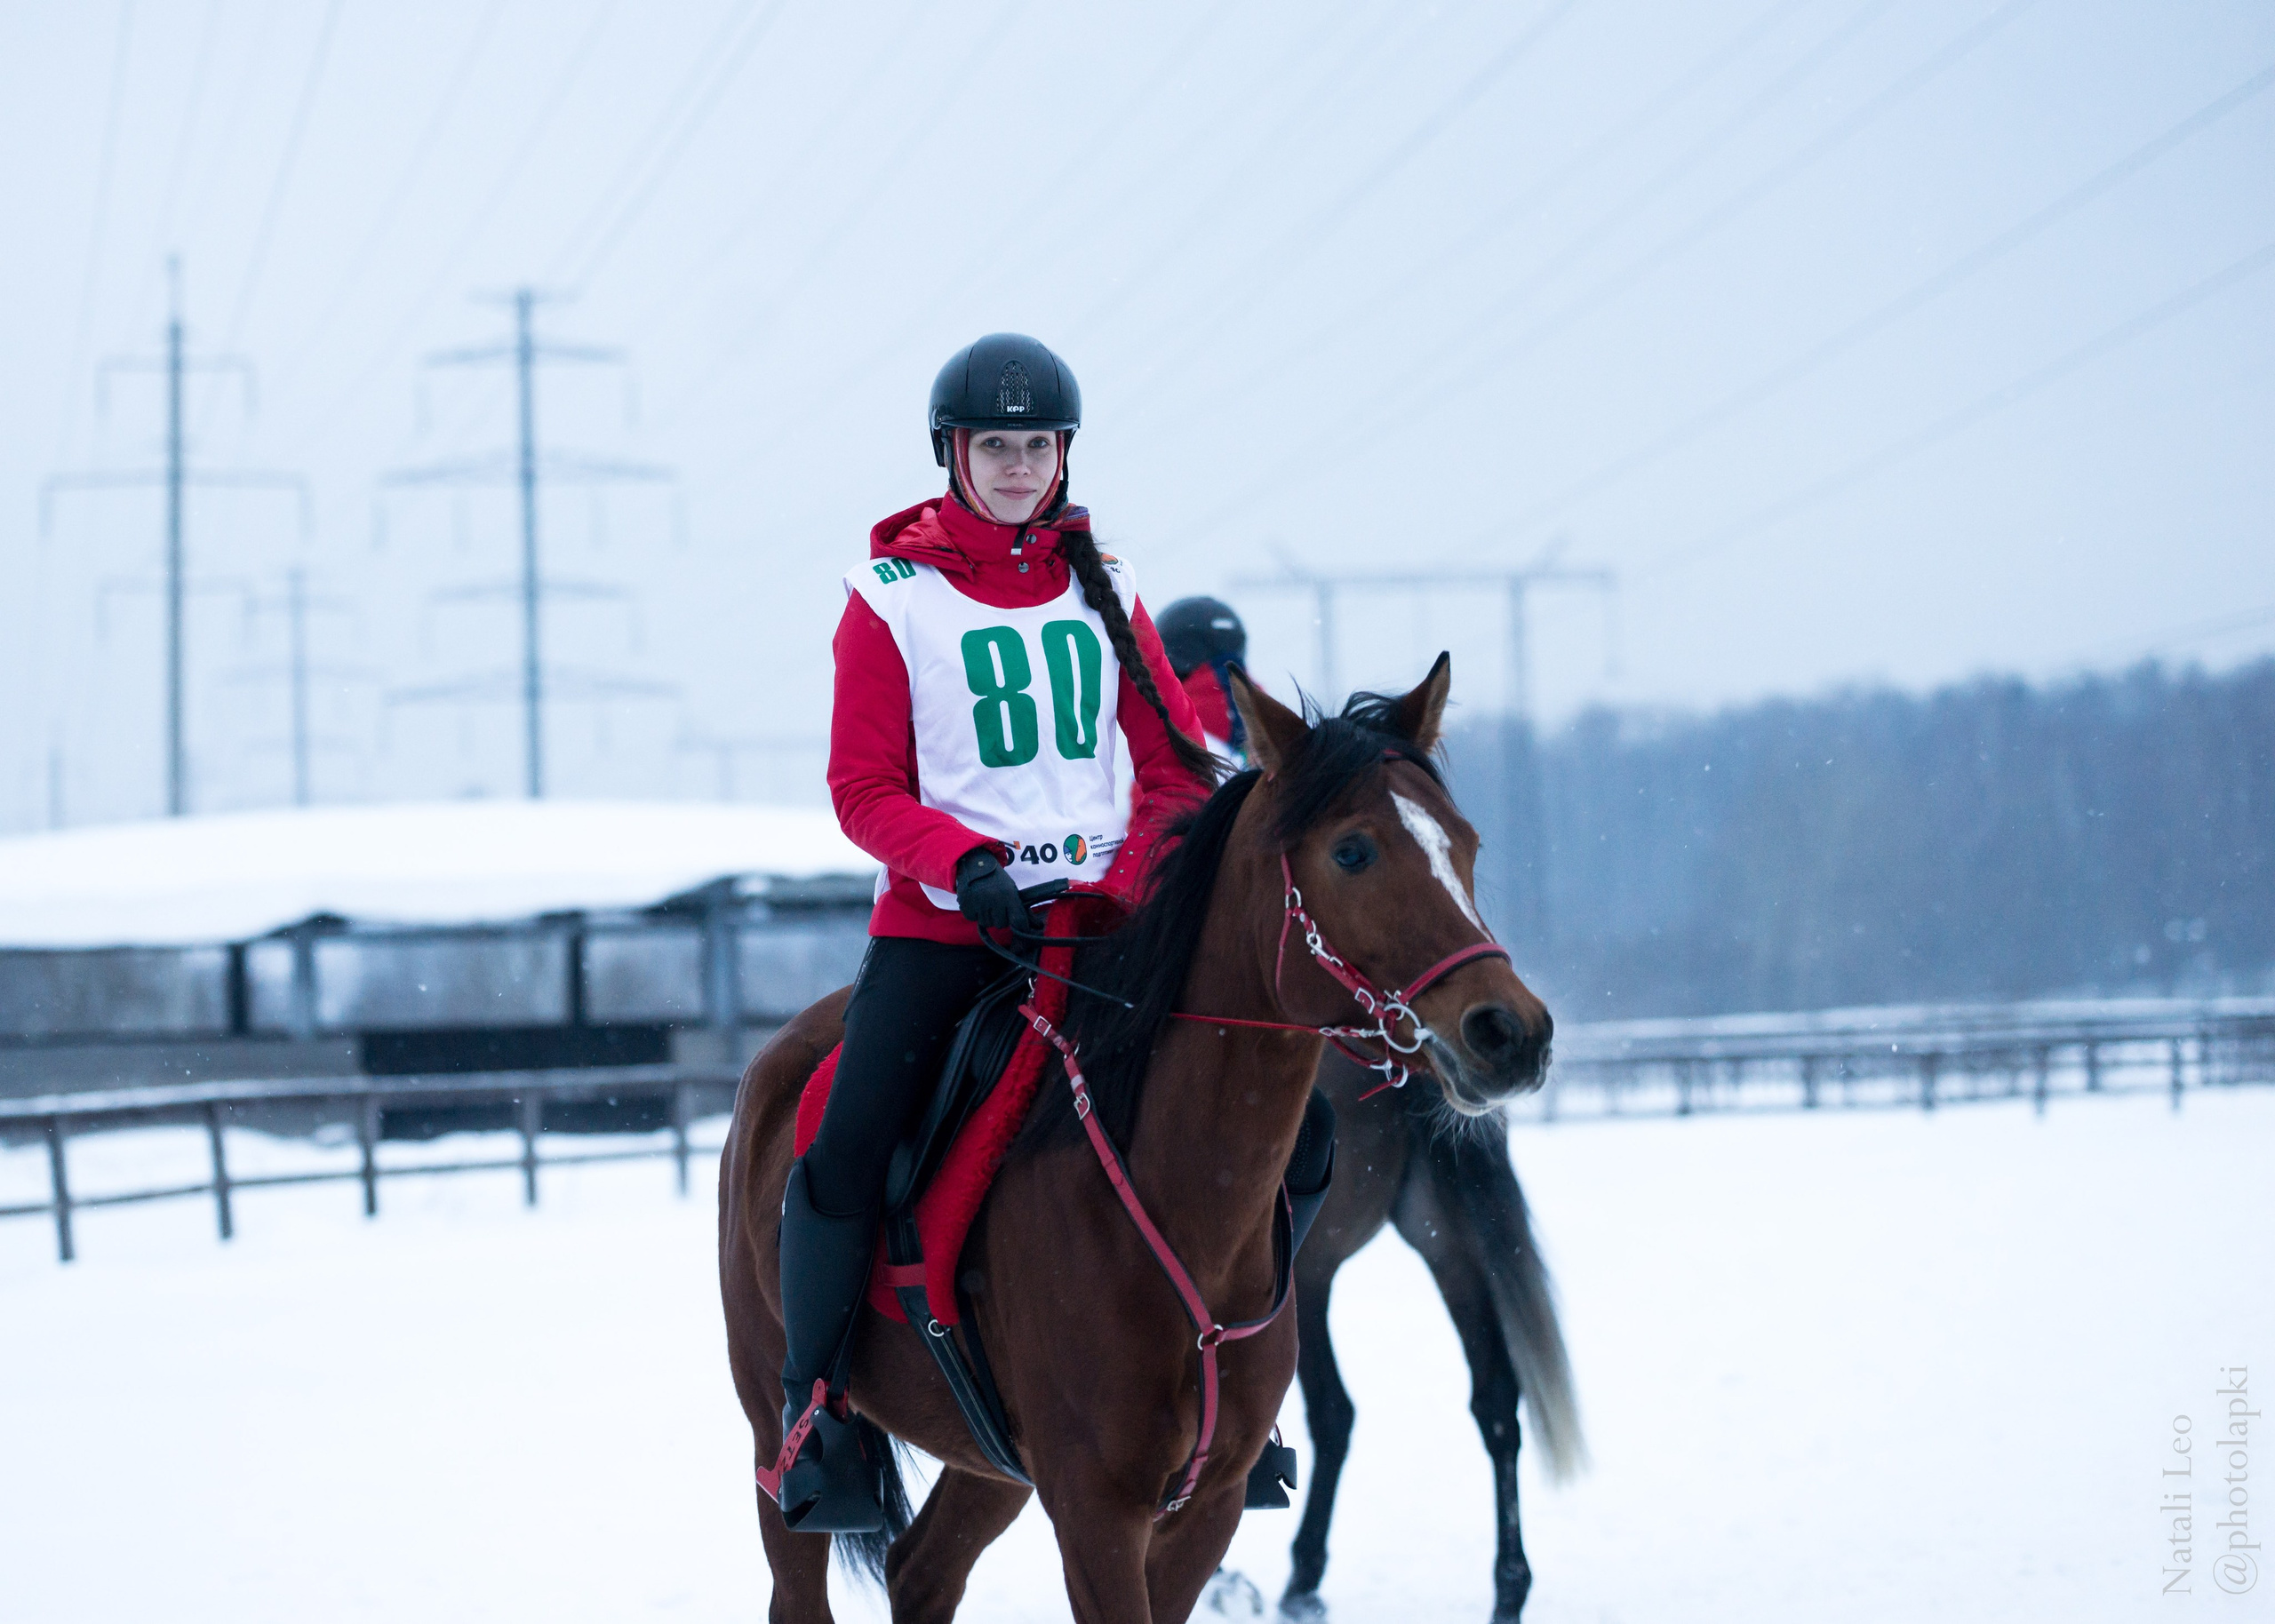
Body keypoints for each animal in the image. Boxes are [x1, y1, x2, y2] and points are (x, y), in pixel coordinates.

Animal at [718, 655, 1554, 1624]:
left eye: (1467, 842)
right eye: (1352, 850)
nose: (1509, 1031)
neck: (1180, 1202)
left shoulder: (1203, 1506)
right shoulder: (1095, 1506)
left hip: (995, 1464)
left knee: (920, 1571)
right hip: (773, 1432)